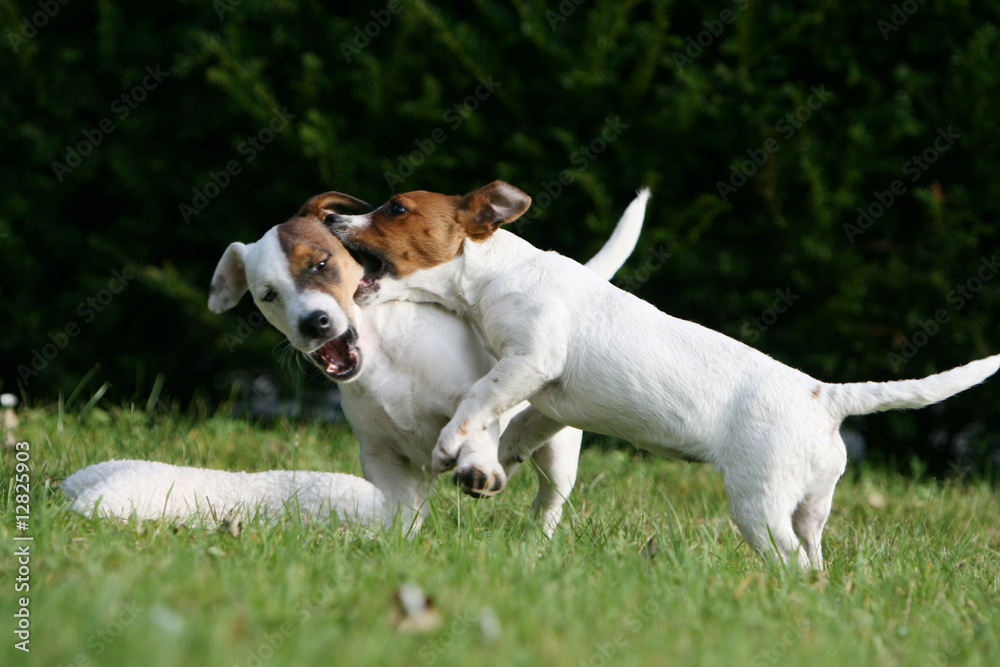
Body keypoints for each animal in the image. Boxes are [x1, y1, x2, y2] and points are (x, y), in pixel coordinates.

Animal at [207, 190, 644, 536]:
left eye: (321, 264)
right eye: (267, 294)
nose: (314, 323)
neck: (383, 354)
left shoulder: (468, 397)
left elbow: (473, 420)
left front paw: (478, 468)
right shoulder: (382, 457)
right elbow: (401, 512)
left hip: (558, 450)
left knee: (549, 500)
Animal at [328, 183, 1000, 568]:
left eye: (395, 209)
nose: (333, 221)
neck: (496, 273)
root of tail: (825, 397)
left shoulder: (529, 360)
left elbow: (476, 397)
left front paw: (455, 446)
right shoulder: (546, 396)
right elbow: (518, 426)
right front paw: (497, 461)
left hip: (759, 504)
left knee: (790, 563)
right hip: (811, 503)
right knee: (815, 557)